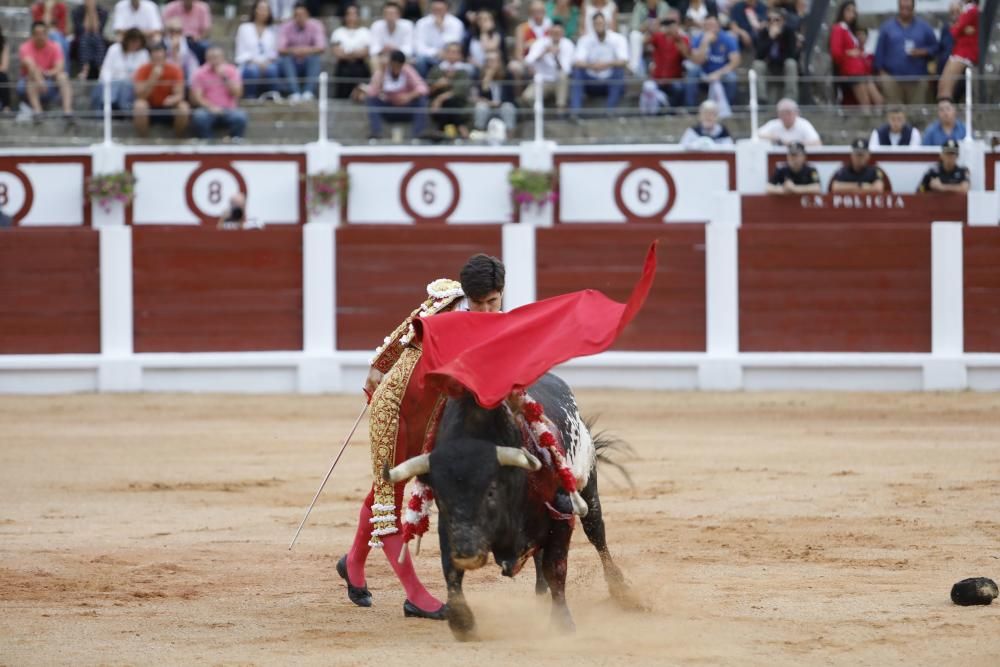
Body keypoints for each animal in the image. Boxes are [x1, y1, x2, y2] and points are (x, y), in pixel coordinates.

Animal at [386, 374, 636, 640]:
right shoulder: (447, 527)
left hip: (588, 487)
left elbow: (556, 568)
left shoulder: (562, 514)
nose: (467, 553)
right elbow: (451, 571)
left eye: (491, 492)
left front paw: (563, 623)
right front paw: (463, 624)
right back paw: (541, 594)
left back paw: (623, 593)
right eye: (441, 497)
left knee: (596, 534)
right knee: (539, 554)